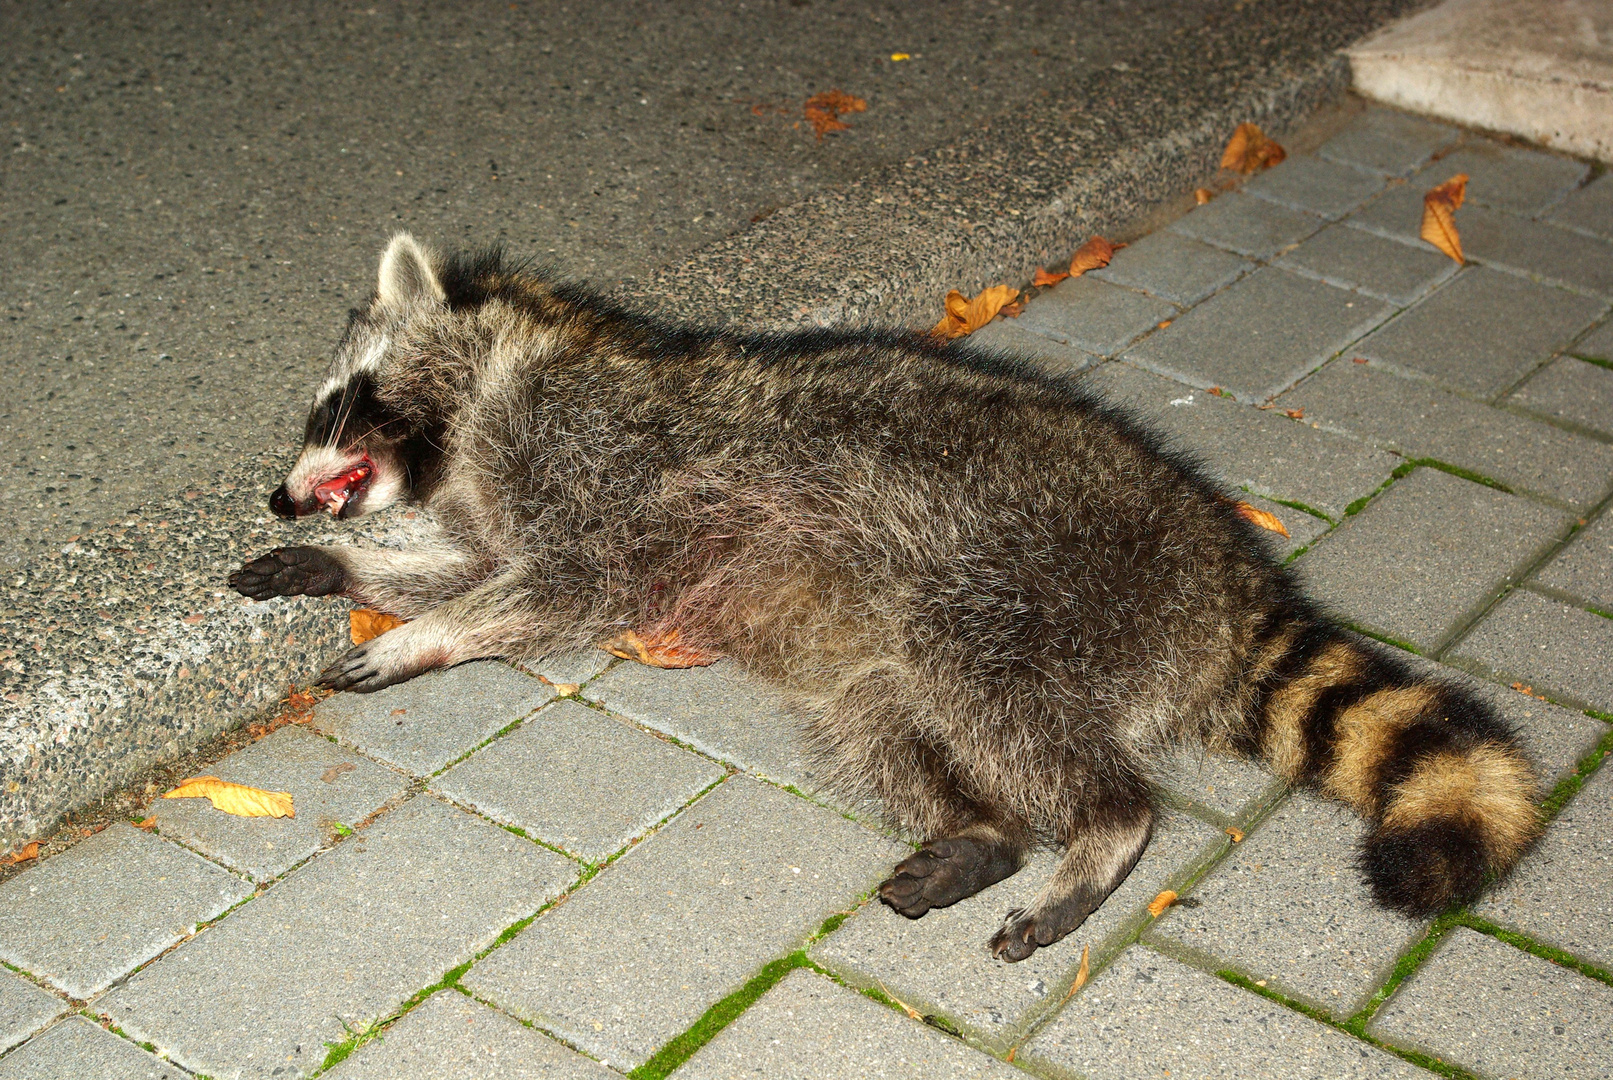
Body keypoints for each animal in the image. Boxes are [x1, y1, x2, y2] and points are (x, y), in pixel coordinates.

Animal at [233, 236, 1542, 967]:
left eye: (335, 403)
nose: (279, 496)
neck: (496, 390)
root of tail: (1225, 582)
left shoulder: (600, 473)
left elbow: (549, 584)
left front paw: (419, 636)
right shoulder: (505, 502)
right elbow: (472, 563)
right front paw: (356, 576)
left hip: (1022, 582)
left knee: (1004, 706)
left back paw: (1099, 831)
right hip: (893, 643)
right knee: (879, 720)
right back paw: (982, 831)